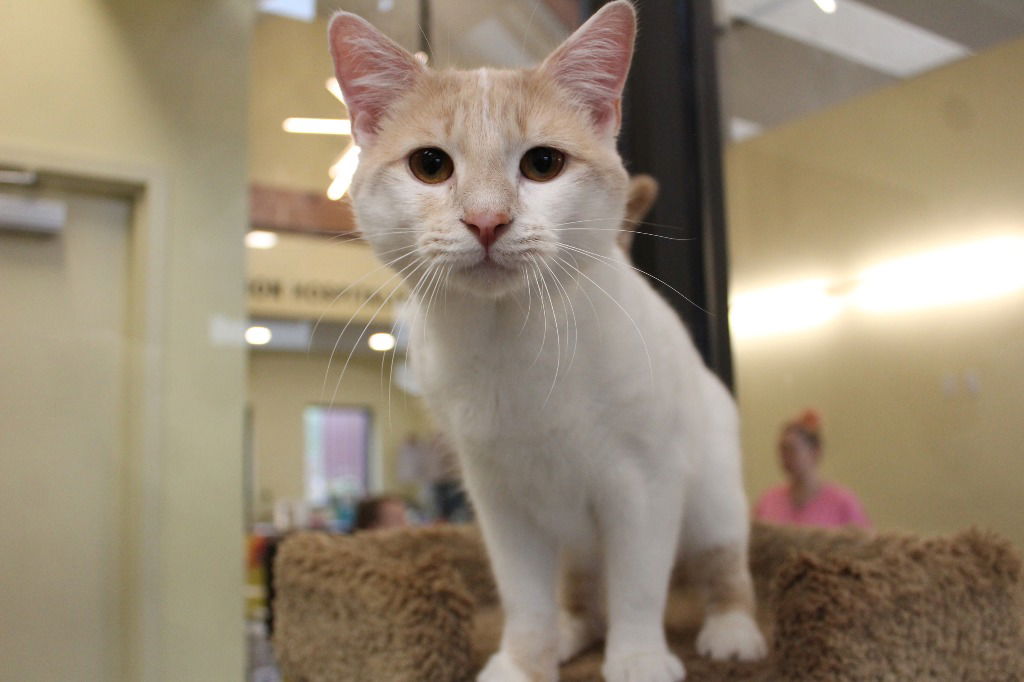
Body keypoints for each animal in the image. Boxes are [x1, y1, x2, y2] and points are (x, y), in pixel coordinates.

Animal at [329, 2, 770, 675]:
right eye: (431, 165)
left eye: (543, 164)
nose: (487, 220)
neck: (513, 340)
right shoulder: (499, 499)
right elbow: (525, 599)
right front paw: (522, 663)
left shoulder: (647, 482)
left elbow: (640, 585)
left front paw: (638, 659)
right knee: (581, 589)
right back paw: (572, 630)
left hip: (712, 496)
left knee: (721, 563)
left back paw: (732, 628)